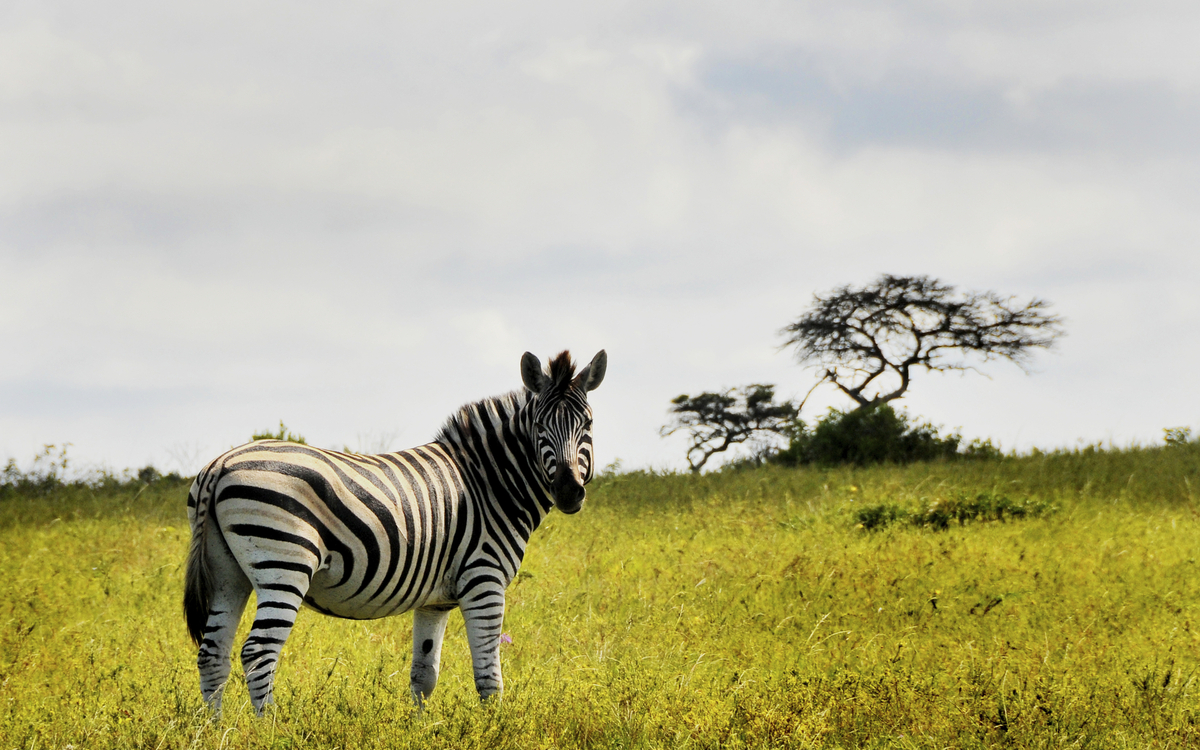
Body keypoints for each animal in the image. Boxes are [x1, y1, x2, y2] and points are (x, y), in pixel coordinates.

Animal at [184, 349, 606, 714]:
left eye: (587, 424)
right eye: (539, 426)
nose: (569, 491)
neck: (487, 482)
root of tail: (220, 464)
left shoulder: (434, 601)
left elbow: (424, 674)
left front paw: (418, 727)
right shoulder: (484, 581)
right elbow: (489, 678)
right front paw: (495, 727)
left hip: (227, 573)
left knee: (213, 653)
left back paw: (215, 729)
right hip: (284, 564)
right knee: (257, 653)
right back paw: (271, 728)